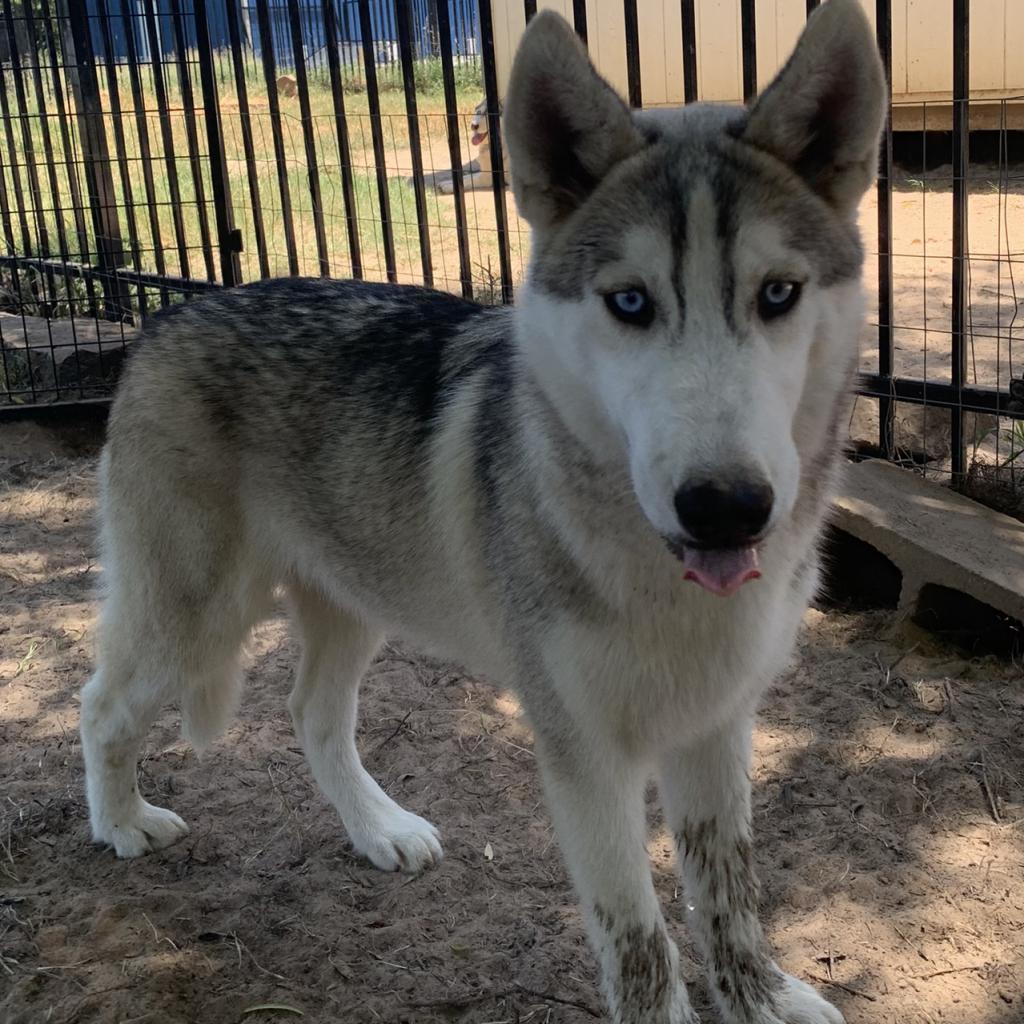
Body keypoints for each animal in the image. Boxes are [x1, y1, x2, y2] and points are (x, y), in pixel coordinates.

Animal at [79, 4, 884, 1019]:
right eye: (630, 302)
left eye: (778, 293)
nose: (725, 507)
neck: (665, 581)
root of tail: (167, 317)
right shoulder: (587, 761)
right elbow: (642, 946)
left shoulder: (717, 730)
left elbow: (730, 900)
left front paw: (766, 1001)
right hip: (196, 623)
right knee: (101, 704)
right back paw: (122, 825)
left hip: (350, 611)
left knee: (311, 716)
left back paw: (380, 832)